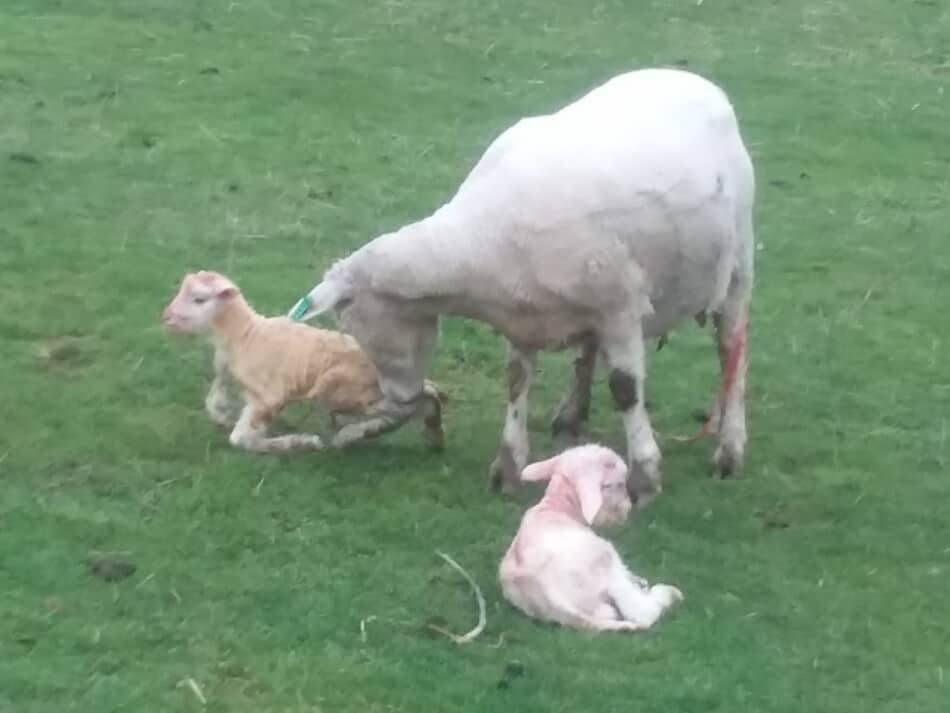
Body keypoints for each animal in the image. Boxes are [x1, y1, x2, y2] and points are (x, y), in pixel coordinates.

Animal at [162, 270, 448, 454]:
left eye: (199, 299)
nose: (166, 317)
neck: (244, 335)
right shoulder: (229, 373)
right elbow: (213, 400)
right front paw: (222, 417)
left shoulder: (268, 397)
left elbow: (241, 439)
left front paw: (297, 442)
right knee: (421, 400)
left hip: (341, 389)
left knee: (413, 407)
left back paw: (355, 436)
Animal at [286, 68, 756, 500]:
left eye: (354, 322)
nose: (398, 396)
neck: (477, 242)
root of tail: (694, 79)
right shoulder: (522, 316)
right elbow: (516, 381)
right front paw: (508, 465)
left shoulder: (619, 306)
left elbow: (625, 389)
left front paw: (644, 474)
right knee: (590, 351)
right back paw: (571, 414)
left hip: (738, 265)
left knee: (731, 350)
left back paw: (730, 448)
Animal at [498, 442, 684, 632]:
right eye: (617, 484)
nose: (628, 507)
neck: (557, 507)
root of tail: (548, 594)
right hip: (606, 564)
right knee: (642, 613)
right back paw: (668, 593)